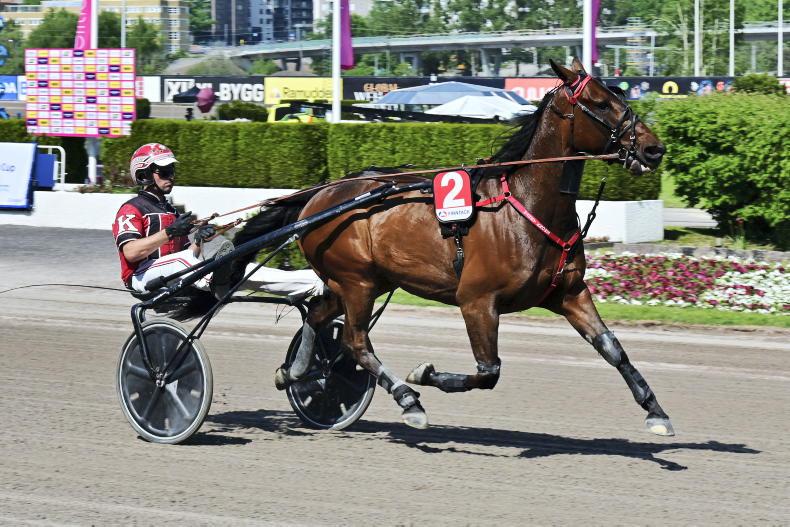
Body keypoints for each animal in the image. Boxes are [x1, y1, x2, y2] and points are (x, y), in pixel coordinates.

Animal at [233, 58, 674, 436]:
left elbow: (612, 348)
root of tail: (319, 195)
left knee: (318, 315)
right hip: (356, 281)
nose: (654, 149)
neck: (526, 207)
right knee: (355, 342)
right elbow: (488, 371)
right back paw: (407, 399)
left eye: (621, 94)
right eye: (600, 102)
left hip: (364, 281)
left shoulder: (568, 292)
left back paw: (297, 373)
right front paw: (423, 374)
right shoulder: (477, 300)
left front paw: (656, 411)